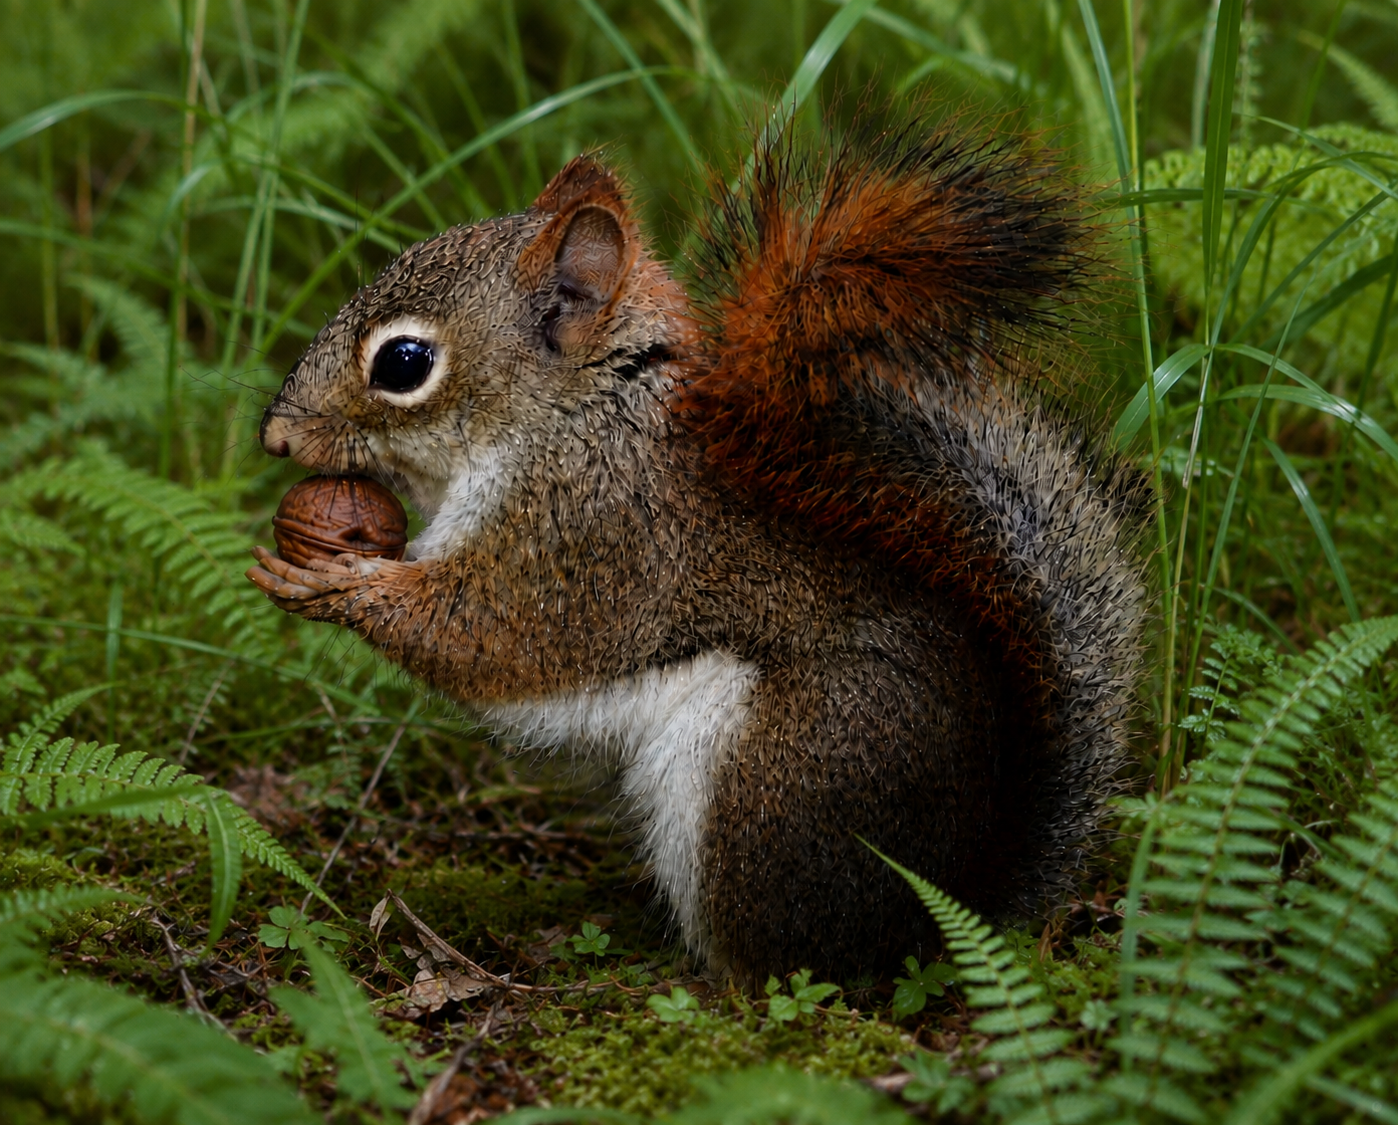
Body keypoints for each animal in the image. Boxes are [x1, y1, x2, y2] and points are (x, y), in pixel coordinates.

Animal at [248, 113, 1148, 984]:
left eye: (404, 361)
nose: (276, 437)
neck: (570, 418)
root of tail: (942, 914)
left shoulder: (590, 537)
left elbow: (491, 633)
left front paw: (335, 580)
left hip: (761, 781)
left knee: (790, 963)